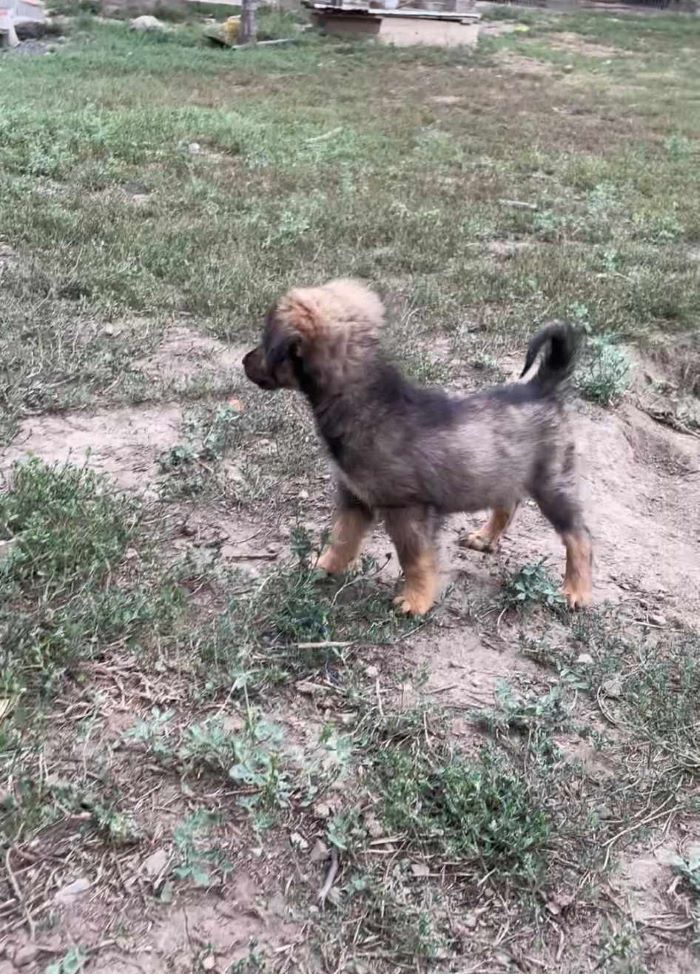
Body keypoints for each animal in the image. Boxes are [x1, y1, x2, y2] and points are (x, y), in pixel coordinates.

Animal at [243, 278, 592, 612]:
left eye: (266, 341)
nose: (245, 361)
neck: (366, 401)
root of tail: (541, 388)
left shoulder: (407, 510)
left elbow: (415, 560)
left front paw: (416, 601)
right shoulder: (354, 497)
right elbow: (342, 538)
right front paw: (323, 568)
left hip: (552, 484)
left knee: (579, 536)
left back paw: (576, 591)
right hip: (504, 471)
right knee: (508, 502)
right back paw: (485, 538)